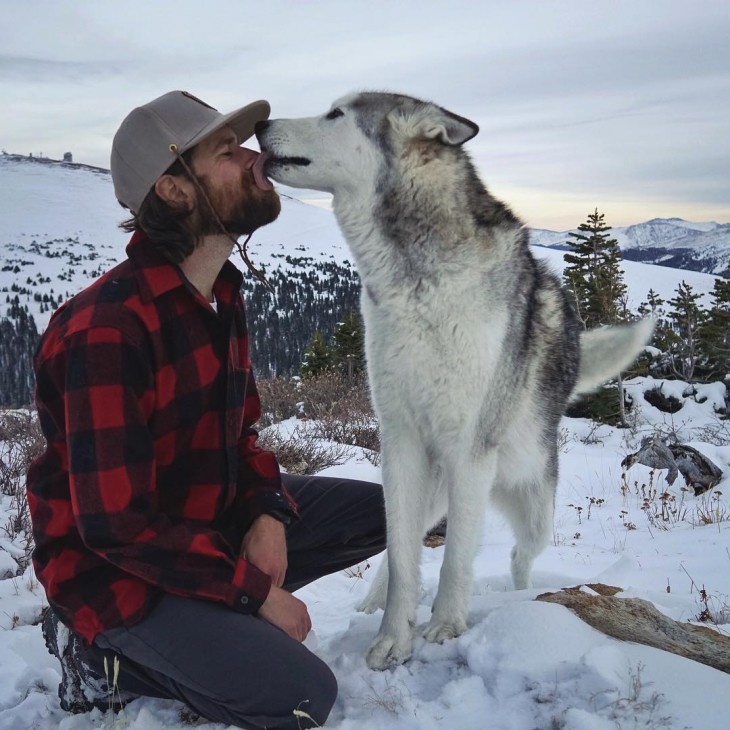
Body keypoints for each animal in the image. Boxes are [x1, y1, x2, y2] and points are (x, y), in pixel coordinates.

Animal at [255, 91, 648, 664]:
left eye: (337, 114)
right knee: (403, 544)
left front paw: (444, 628)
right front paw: (392, 640)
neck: (415, 282)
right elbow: (402, 557)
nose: (259, 123)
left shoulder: (469, 452)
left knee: (519, 555)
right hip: (436, 484)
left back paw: (520, 596)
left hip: (530, 501)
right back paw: (372, 604)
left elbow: (457, 557)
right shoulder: (399, 444)